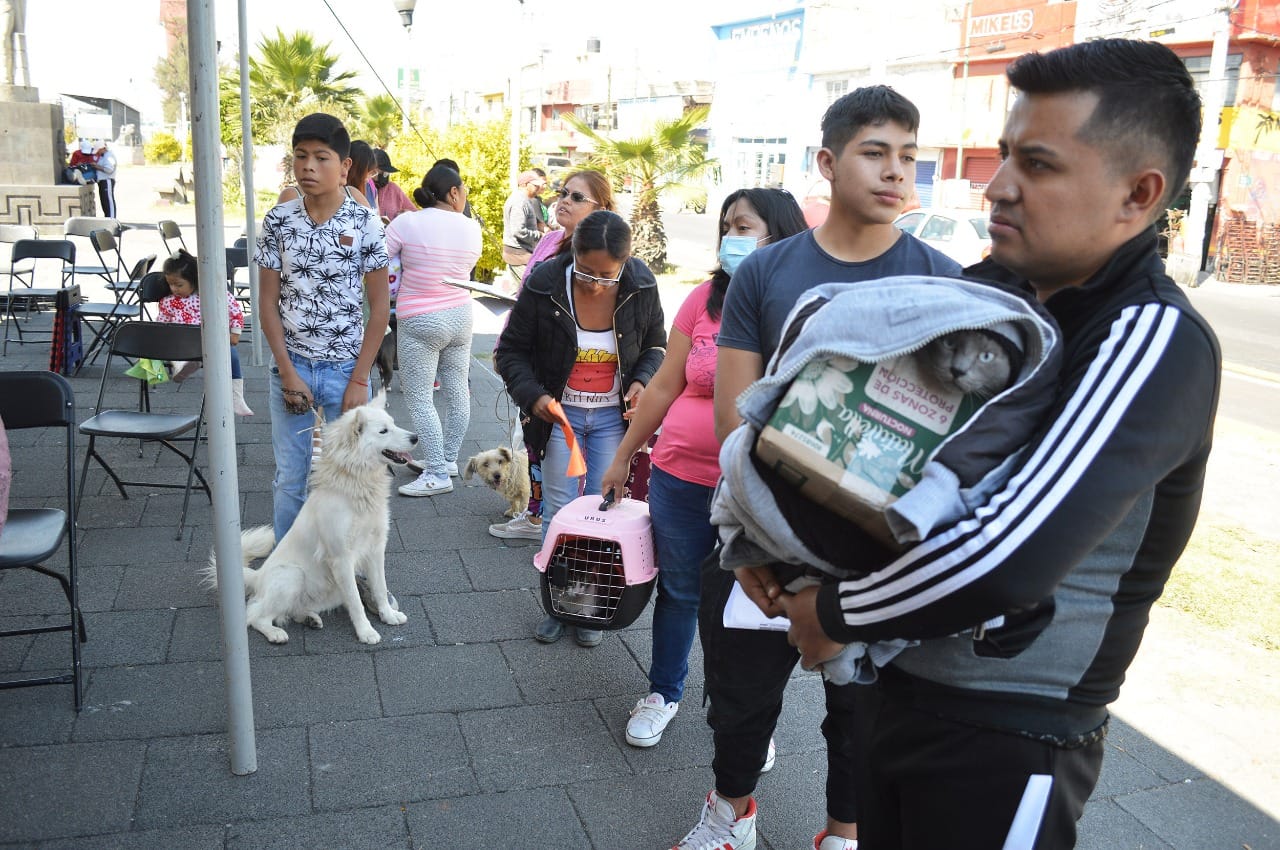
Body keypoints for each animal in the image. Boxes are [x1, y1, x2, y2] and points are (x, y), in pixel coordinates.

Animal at [204, 394, 414, 645]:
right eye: (383, 431)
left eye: (393, 424)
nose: (415, 438)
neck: (356, 483)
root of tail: (258, 575)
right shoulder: (341, 558)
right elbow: (355, 601)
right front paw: (366, 631)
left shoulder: (375, 549)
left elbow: (380, 588)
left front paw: (388, 615)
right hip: (293, 576)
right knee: (255, 614)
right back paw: (275, 633)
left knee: (289, 611)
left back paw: (309, 618)